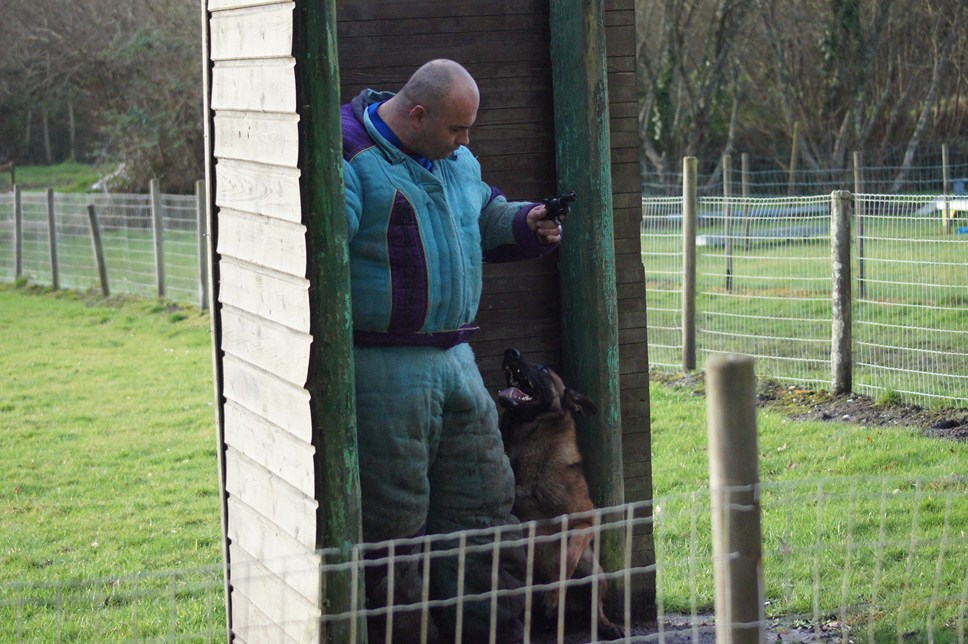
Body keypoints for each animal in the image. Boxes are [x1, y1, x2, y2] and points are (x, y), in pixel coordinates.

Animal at [496, 350, 624, 636]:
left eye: (543, 369)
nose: (511, 351)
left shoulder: (587, 520)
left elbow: (566, 557)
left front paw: (554, 595)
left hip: (594, 570)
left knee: (595, 605)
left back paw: (605, 625)